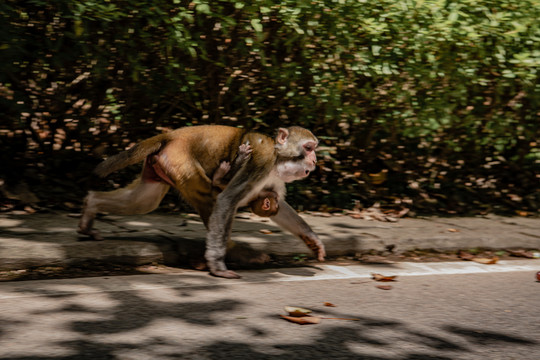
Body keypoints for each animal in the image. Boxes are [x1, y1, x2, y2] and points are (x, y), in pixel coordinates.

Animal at [78, 124, 324, 278]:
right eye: (308, 148)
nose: (314, 161)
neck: (277, 159)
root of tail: (171, 136)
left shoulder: (274, 181)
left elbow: (280, 208)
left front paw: (311, 239)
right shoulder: (262, 160)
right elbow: (226, 200)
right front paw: (217, 266)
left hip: (160, 164)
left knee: (144, 201)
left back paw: (91, 206)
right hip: (180, 159)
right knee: (208, 196)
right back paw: (235, 252)